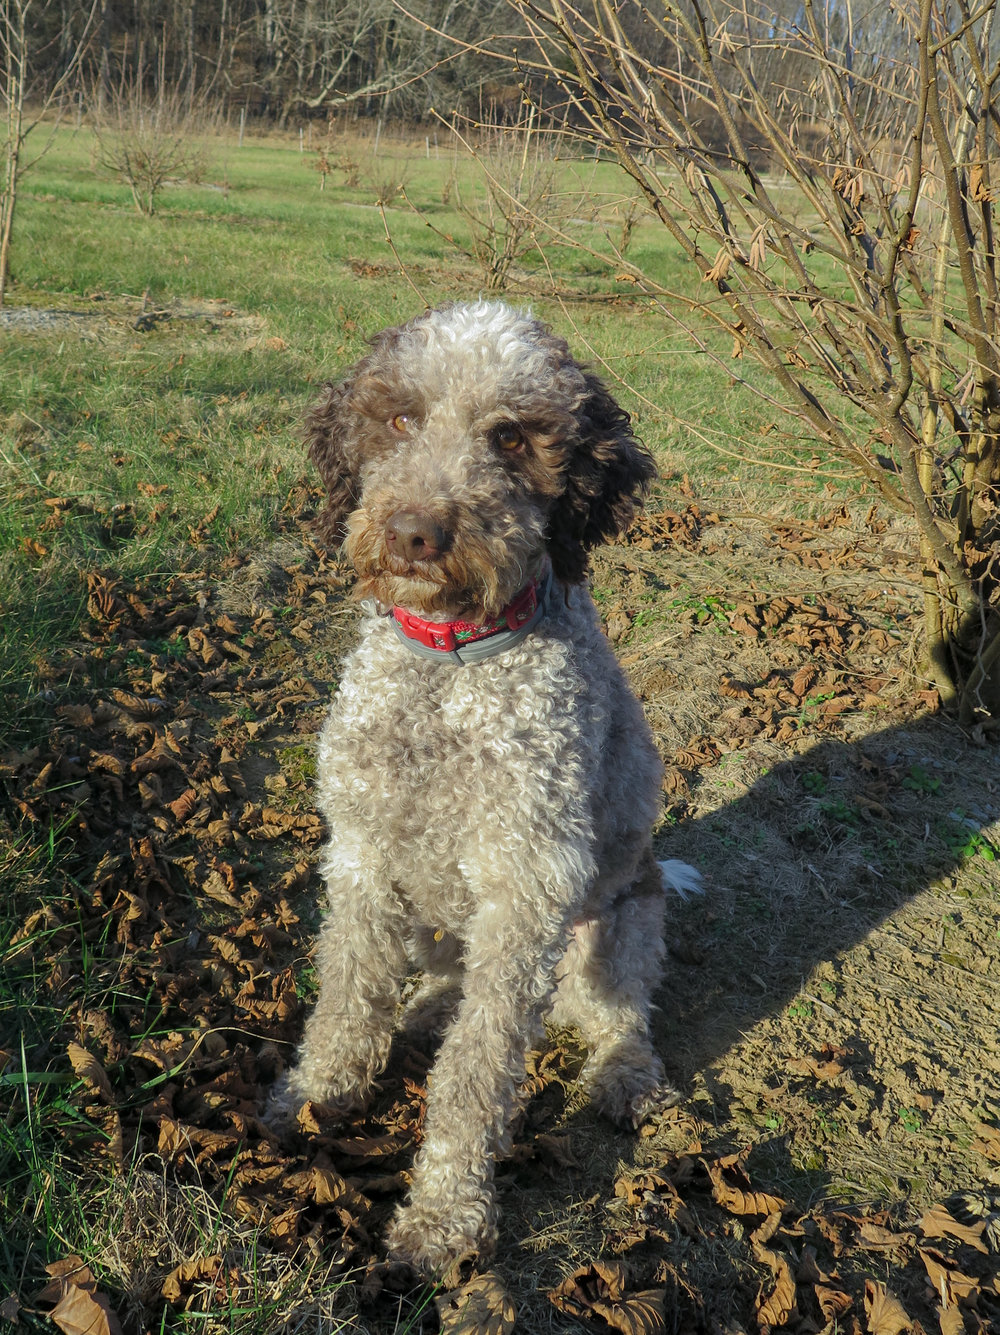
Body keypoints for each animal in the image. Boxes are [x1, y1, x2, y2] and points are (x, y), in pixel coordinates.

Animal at [269, 300, 699, 1270]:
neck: (449, 666)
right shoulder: (361, 855)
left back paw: (626, 1077)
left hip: (618, 922)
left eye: (511, 437)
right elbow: (346, 992)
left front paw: (443, 1217)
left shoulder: (524, 893)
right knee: (435, 980)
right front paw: (315, 1094)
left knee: (621, 1014)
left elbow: (477, 1068)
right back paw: (425, 1005)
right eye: (399, 418)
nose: (415, 532)